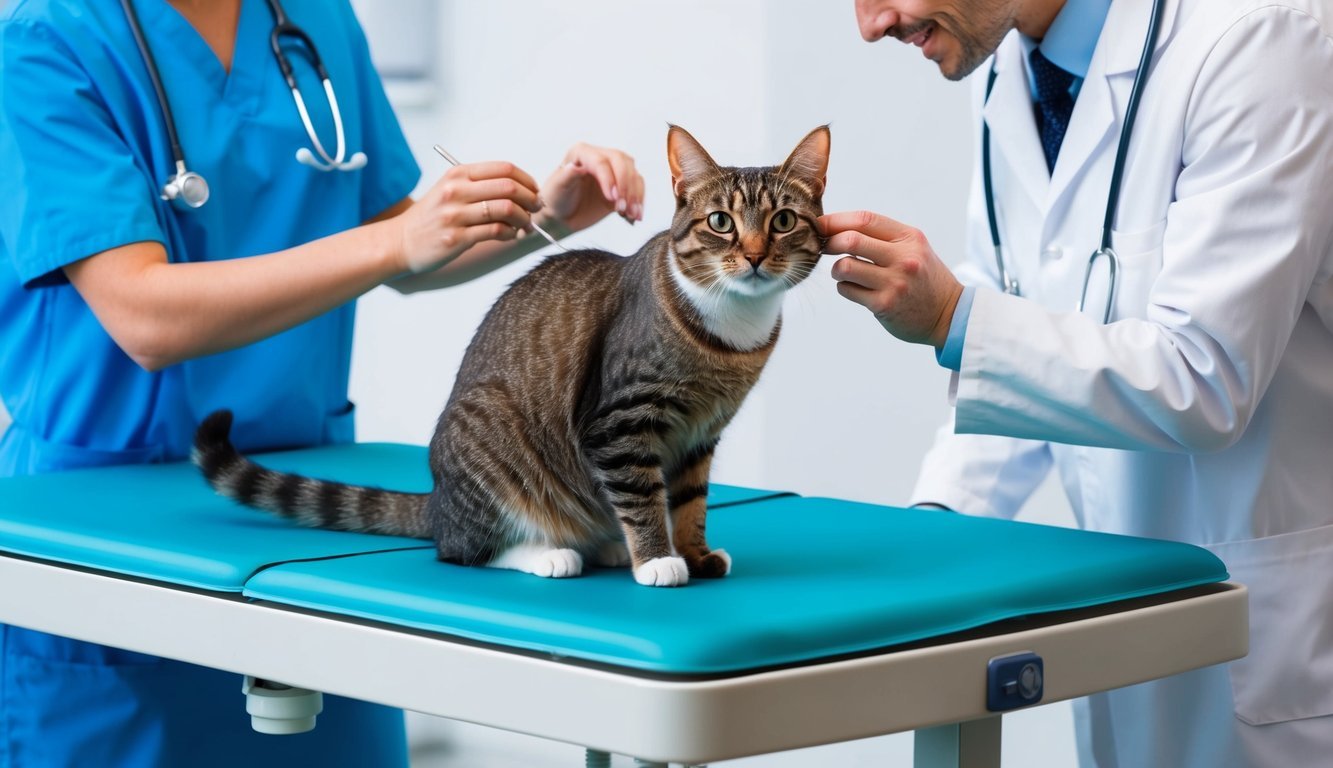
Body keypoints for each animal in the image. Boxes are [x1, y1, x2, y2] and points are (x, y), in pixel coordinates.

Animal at [193, 124, 826, 586]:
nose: (753, 256)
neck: (733, 332)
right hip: (493, 442)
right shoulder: (619, 422)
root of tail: (438, 503)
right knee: (463, 550)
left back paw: (605, 546)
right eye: (720, 223)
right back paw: (551, 553)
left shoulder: (700, 435)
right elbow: (644, 494)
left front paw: (692, 553)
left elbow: (690, 500)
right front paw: (657, 559)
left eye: (782, 221)